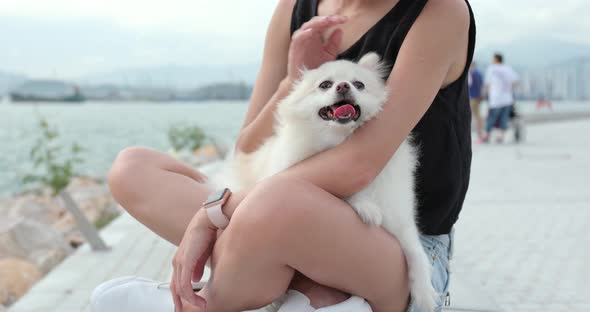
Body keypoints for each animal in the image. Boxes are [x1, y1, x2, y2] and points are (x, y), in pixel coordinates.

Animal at [219, 52, 440, 310]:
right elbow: (346, 194)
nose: (343, 86)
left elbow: (416, 252)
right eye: (325, 85)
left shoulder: (400, 220)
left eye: (359, 84)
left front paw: (424, 293)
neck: (338, 142)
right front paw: (364, 205)